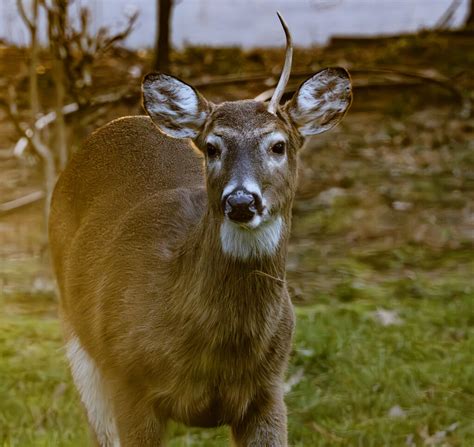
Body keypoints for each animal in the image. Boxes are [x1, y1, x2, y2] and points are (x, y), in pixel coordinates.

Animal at [49, 12, 352, 446]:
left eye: (278, 145)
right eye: (212, 147)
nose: (241, 201)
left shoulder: (269, 390)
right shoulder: (128, 381)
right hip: (79, 338)